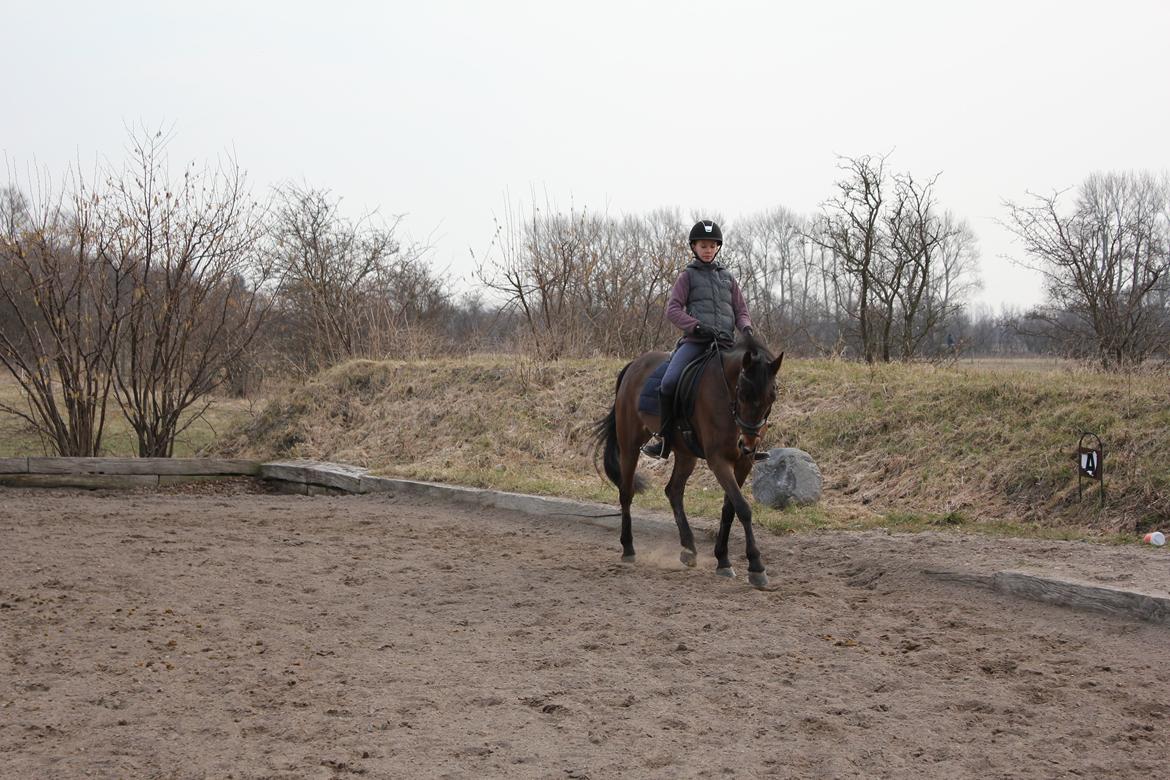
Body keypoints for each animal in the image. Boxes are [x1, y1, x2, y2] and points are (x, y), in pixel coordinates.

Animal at [594, 332, 786, 589]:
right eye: (743, 393)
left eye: (772, 395)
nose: (747, 444)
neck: (726, 397)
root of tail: (634, 364)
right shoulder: (718, 460)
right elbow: (743, 508)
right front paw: (756, 566)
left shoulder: (743, 463)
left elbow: (730, 509)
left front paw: (723, 560)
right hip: (629, 445)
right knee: (626, 493)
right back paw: (628, 549)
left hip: (686, 454)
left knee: (673, 491)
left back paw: (688, 549)